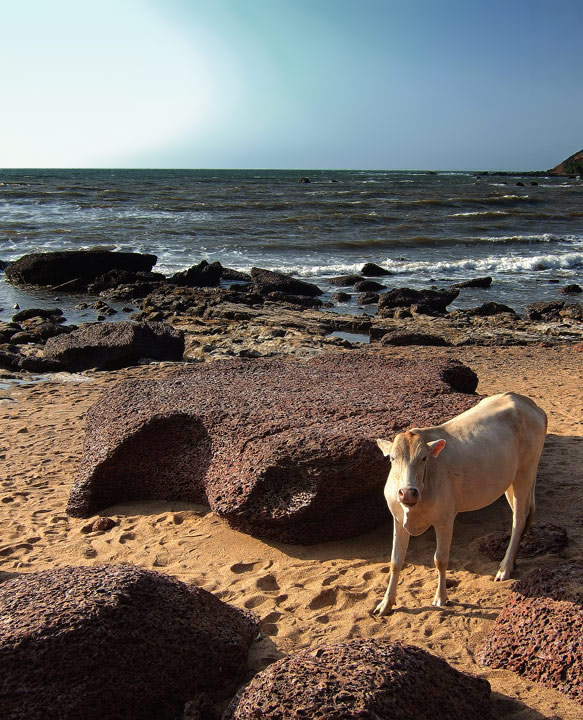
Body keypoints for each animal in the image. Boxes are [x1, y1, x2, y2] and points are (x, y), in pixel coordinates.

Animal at [374, 390, 548, 616]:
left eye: (424, 458)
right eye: (392, 458)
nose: (408, 493)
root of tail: (527, 402)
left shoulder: (445, 518)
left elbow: (440, 559)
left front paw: (441, 597)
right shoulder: (397, 518)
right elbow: (396, 561)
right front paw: (386, 603)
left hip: (526, 472)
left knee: (518, 519)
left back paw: (505, 568)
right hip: (510, 480)